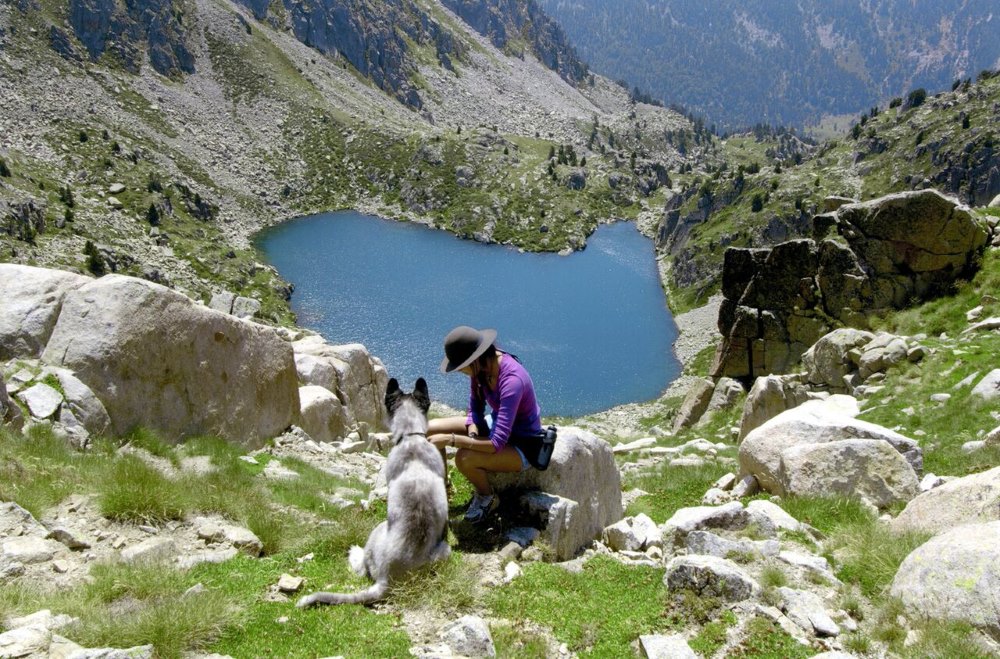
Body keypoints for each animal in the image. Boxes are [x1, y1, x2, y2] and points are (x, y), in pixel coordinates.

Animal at [294, 378, 452, 604]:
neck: (411, 438)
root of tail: (385, 581)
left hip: (376, 530)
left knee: (362, 569)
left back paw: (355, 554)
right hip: (444, 550)